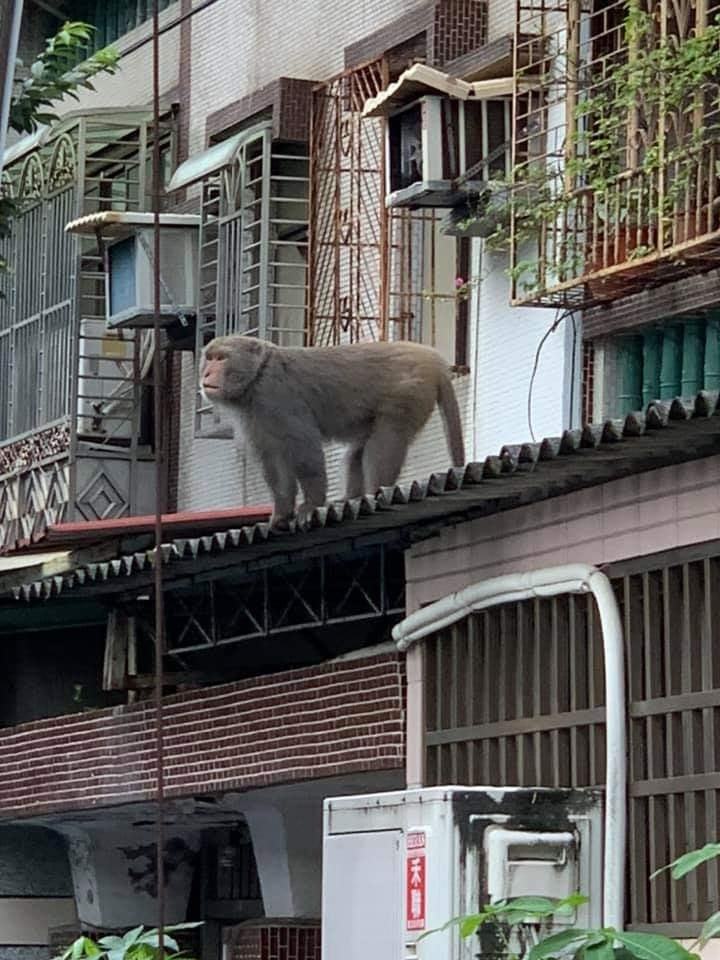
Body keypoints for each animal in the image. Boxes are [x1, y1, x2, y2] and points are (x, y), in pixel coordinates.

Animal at [200, 334, 464, 528]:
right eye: (210, 358)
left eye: (221, 358)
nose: (206, 373)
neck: (257, 376)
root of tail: (433, 359)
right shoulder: (254, 413)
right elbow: (273, 460)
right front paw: (281, 513)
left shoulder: (276, 396)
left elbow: (305, 449)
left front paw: (311, 505)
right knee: (359, 451)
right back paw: (351, 497)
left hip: (409, 391)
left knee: (385, 440)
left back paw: (376, 492)